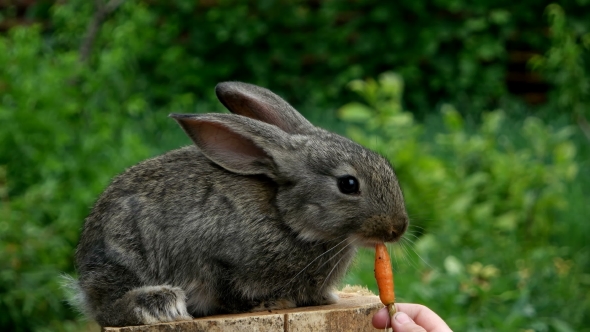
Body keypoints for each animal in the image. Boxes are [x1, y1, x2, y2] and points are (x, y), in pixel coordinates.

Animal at [70, 81, 412, 326]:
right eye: (348, 184)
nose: (397, 228)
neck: (288, 219)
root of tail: (84, 276)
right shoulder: (213, 256)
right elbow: (228, 290)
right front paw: (270, 303)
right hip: (124, 255)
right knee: (108, 308)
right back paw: (158, 305)